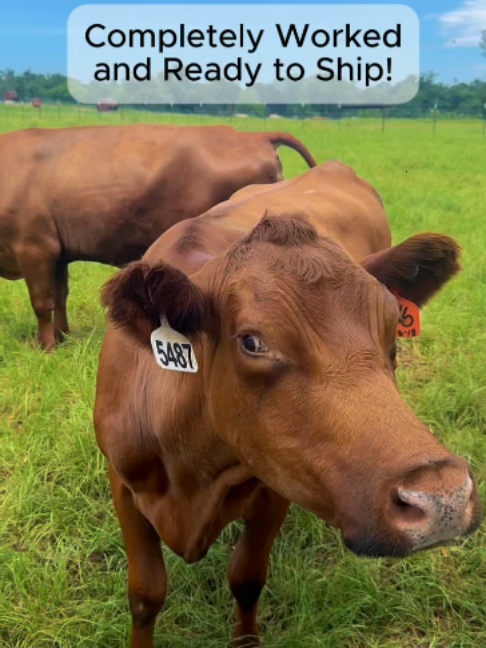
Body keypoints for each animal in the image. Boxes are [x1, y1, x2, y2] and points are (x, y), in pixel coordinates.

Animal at [0, 124, 316, 349]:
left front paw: (46, 347)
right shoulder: (56, 253)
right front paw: (62, 337)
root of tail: (252, 136)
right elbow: (60, 295)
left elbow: (42, 302)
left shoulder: (34, 248)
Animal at [94, 162, 482, 648]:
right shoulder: (122, 481)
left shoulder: (276, 484)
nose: (444, 496)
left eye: (393, 327)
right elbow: (146, 594)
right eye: (252, 342)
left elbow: (246, 578)